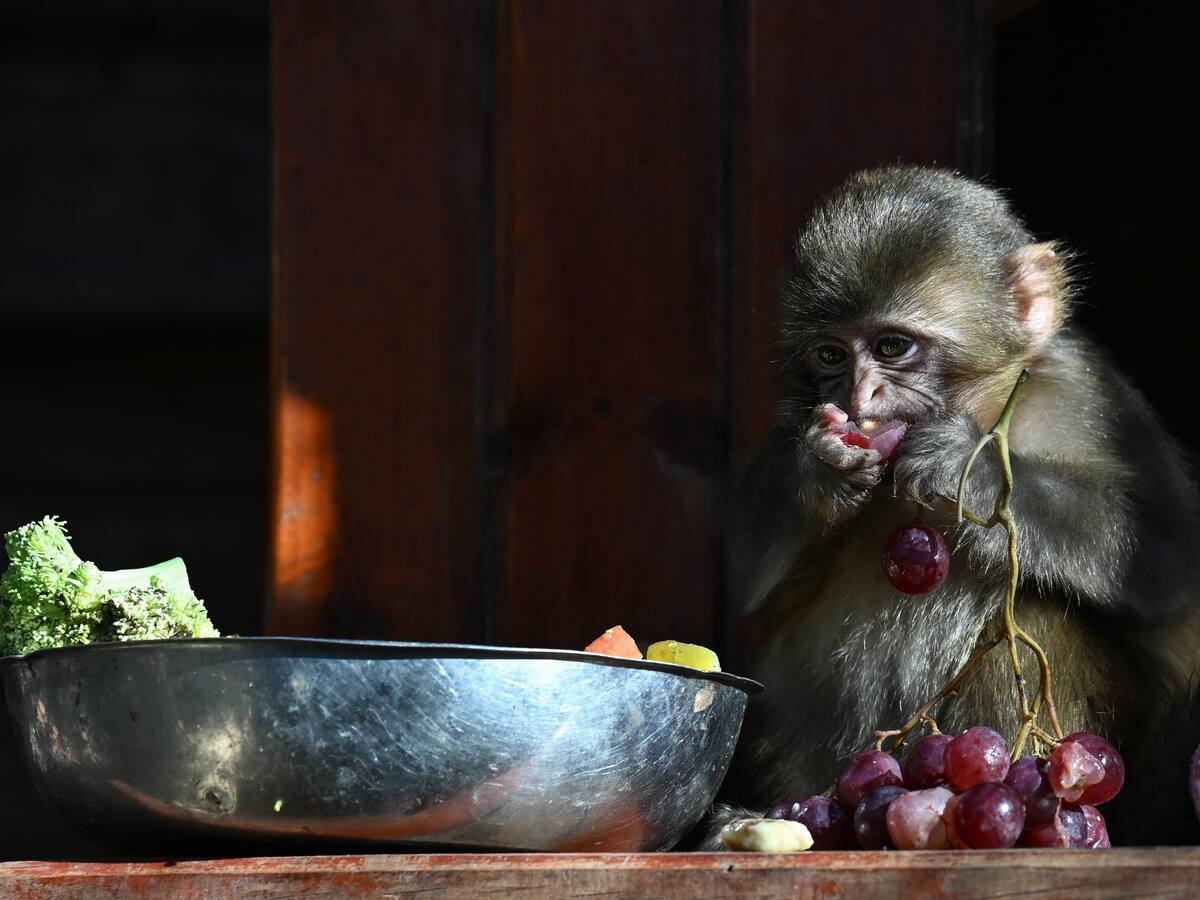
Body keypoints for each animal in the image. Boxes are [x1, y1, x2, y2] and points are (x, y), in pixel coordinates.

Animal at [712, 165, 1200, 846]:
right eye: (832, 355)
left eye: (892, 347)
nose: (859, 398)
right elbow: (748, 575)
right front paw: (821, 468)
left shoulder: (1087, 391)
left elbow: (1164, 553)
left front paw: (964, 464)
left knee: (1041, 611)